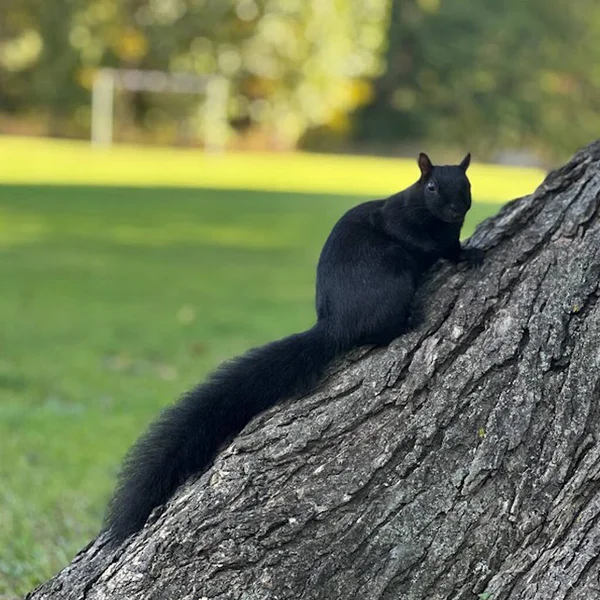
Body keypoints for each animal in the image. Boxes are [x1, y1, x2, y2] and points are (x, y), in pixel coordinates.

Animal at [103, 151, 482, 544]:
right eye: (432, 186)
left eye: (467, 184)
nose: (457, 208)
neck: (436, 220)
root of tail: (335, 324)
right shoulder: (398, 221)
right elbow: (426, 244)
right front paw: (462, 253)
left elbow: (451, 245)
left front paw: (464, 251)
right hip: (392, 273)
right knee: (380, 330)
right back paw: (406, 321)